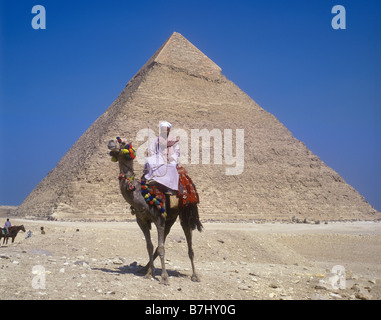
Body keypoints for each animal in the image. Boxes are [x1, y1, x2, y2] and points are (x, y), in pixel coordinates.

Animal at [107, 138, 202, 284]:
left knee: (188, 238)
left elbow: (161, 247)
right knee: (162, 240)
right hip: (170, 218)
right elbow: (150, 246)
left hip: (186, 212)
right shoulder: (141, 220)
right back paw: (144, 268)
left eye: (123, 143)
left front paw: (164, 277)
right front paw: (150, 273)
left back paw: (195, 275)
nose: (110, 142)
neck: (142, 195)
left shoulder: (158, 219)